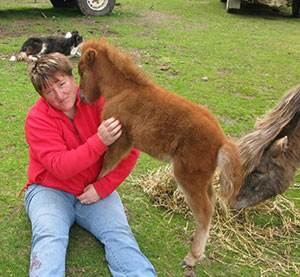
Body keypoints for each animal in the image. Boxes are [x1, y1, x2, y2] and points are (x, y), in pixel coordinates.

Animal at [77, 38, 241, 266]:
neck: (122, 90)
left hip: (188, 176)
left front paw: (94, 193)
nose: (81, 97)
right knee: (212, 199)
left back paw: (192, 257)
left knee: (205, 211)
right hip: (204, 177)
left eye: (82, 72)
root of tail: (222, 140)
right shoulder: (127, 142)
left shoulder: (120, 138)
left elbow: (106, 167)